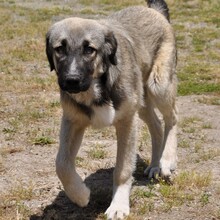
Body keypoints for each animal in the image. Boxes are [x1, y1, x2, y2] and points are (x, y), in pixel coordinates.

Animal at [46, 0, 177, 218]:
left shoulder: (127, 122)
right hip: (142, 102)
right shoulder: (72, 121)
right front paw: (80, 195)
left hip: (159, 86)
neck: (95, 87)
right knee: (157, 126)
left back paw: (167, 161)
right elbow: (61, 164)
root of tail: (154, 11)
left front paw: (118, 206)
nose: (71, 81)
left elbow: (122, 170)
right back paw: (154, 165)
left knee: (172, 118)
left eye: (89, 49)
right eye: (59, 49)